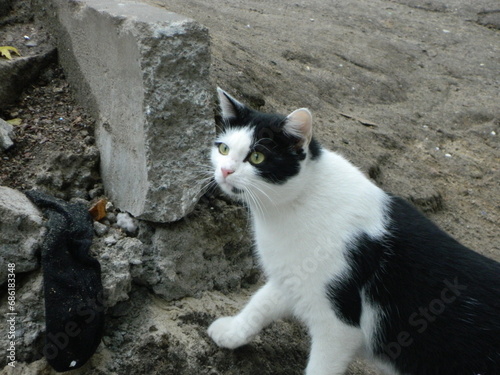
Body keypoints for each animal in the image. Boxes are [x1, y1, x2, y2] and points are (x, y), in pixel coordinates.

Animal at [207, 89, 500, 375]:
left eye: (257, 157)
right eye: (223, 148)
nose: (225, 170)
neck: (290, 207)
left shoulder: (339, 325)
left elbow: (321, 366)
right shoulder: (295, 273)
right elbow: (262, 301)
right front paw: (233, 331)